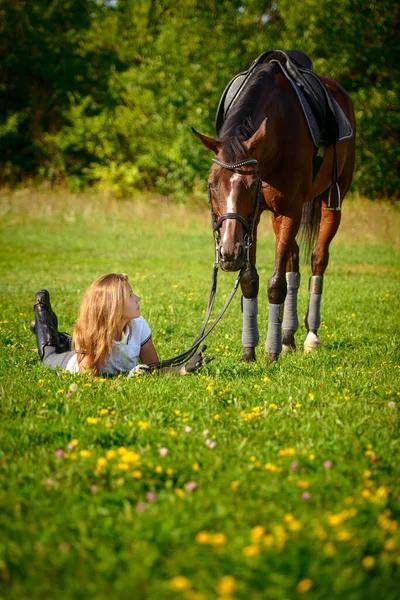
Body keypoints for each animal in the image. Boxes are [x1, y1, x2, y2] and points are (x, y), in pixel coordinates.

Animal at [194, 52, 356, 360]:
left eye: (251, 184)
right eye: (211, 184)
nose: (229, 253)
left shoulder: (289, 210)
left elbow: (275, 284)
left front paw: (270, 353)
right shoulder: (254, 218)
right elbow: (250, 280)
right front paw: (249, 352)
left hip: (331, 202)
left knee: (318, 260)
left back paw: (310, 337)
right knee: (293, 261)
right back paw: (288, 337)